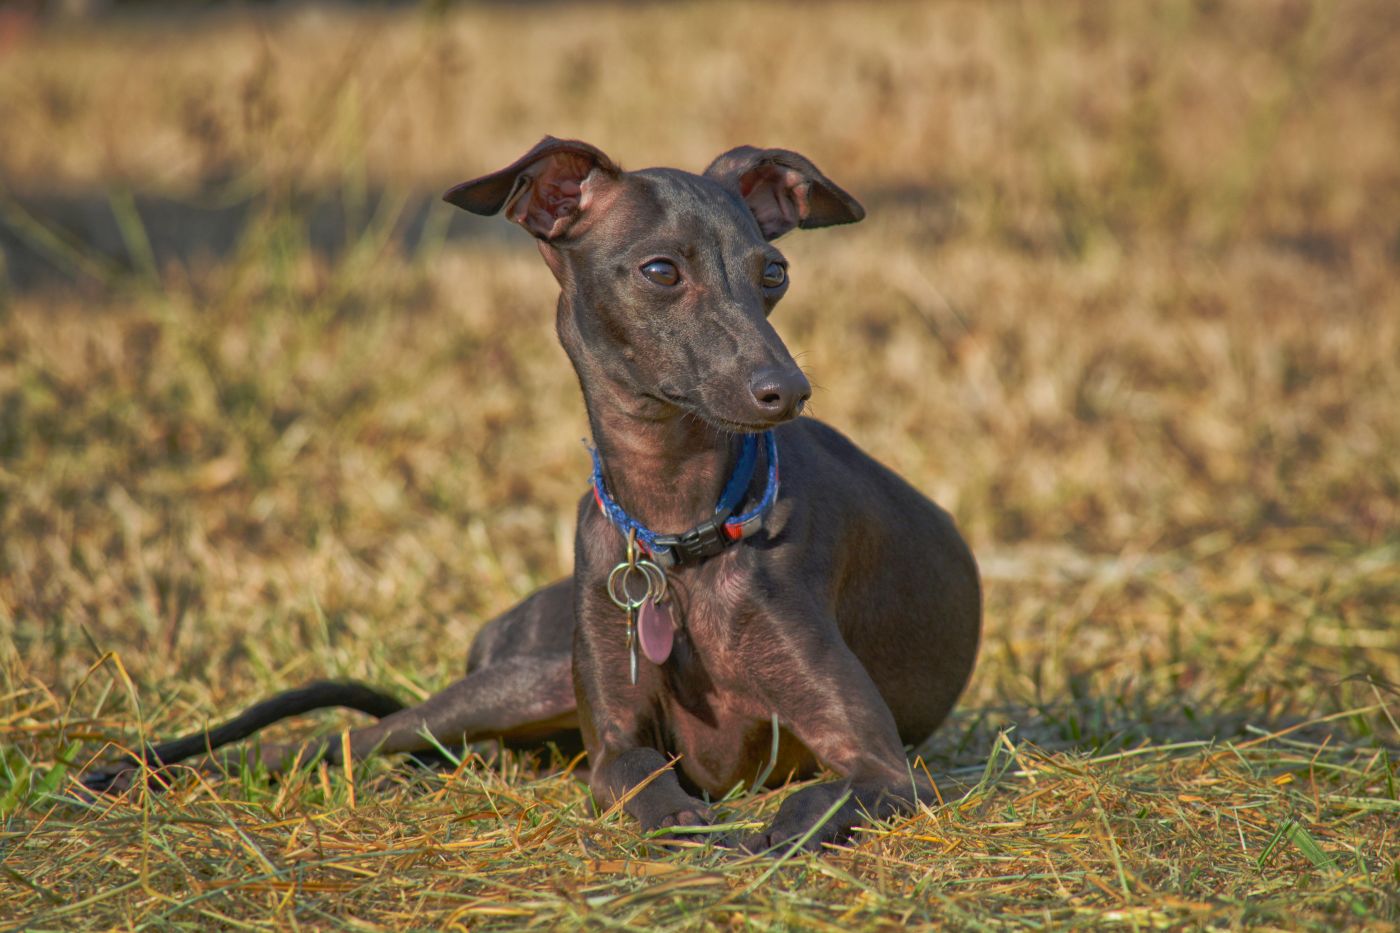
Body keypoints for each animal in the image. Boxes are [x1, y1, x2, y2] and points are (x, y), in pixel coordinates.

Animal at [84, 140, 985, 851]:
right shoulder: (616, 744)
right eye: (662, 270)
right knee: (325, 741)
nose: (786, 390)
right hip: (524, 681)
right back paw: (130, 770)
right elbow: (645, 785)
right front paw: (693, 825)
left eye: (774, 272)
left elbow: (816, 800)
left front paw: (763, 833)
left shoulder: (882, 765)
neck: (677, 529)